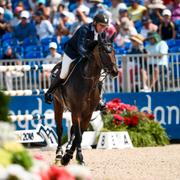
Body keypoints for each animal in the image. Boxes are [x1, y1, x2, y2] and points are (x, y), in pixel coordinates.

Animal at [52, 33, 119, 166]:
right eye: (104, 51)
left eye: (114, 51)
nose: (115, 72)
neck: (88, 81)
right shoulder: (76, 111)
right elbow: (78, 136)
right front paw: (77, 157)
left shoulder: (88, 113)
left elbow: (80, 134)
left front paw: (69, 156)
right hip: (58, 104)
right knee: (60, 129)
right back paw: (58, 155)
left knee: (72, 131)